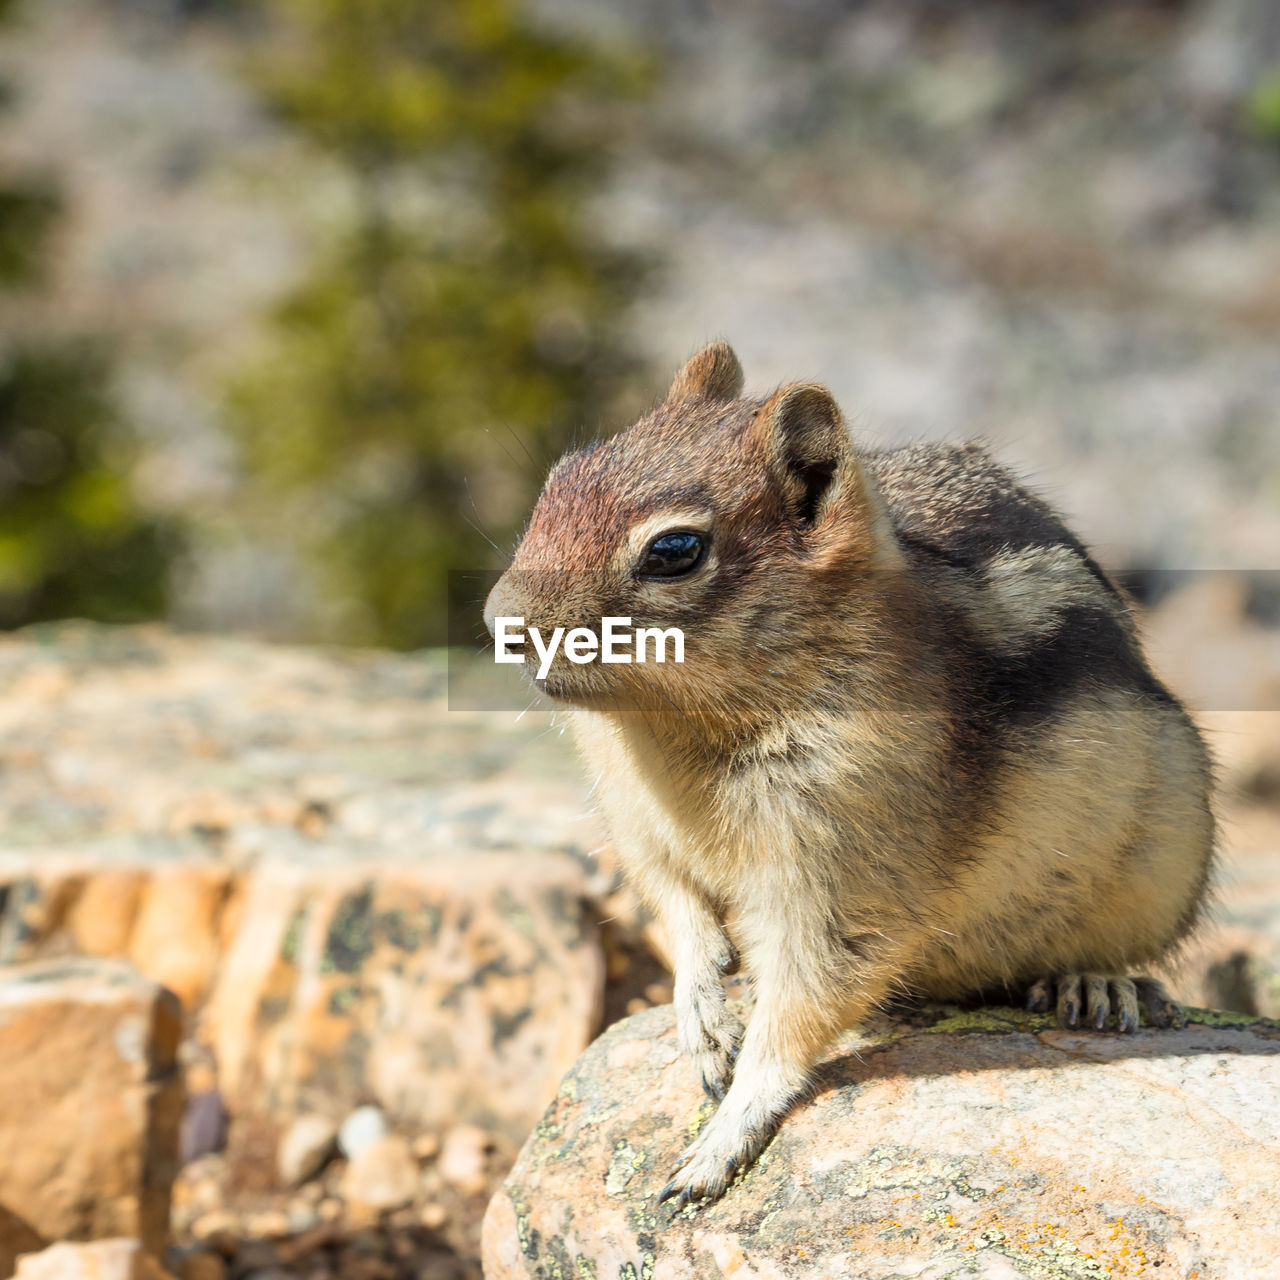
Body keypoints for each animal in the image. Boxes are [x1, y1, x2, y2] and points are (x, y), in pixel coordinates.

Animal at [483, 343, 1213, 1208]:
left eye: (674, 552)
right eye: (561, 476)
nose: (500, 623)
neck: (681, 732)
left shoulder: (844, 868)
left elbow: (804, 1003)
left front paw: (720, 1140)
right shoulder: (641, 827)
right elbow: (678, 907)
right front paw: (702, 1013)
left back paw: (1099, 984)